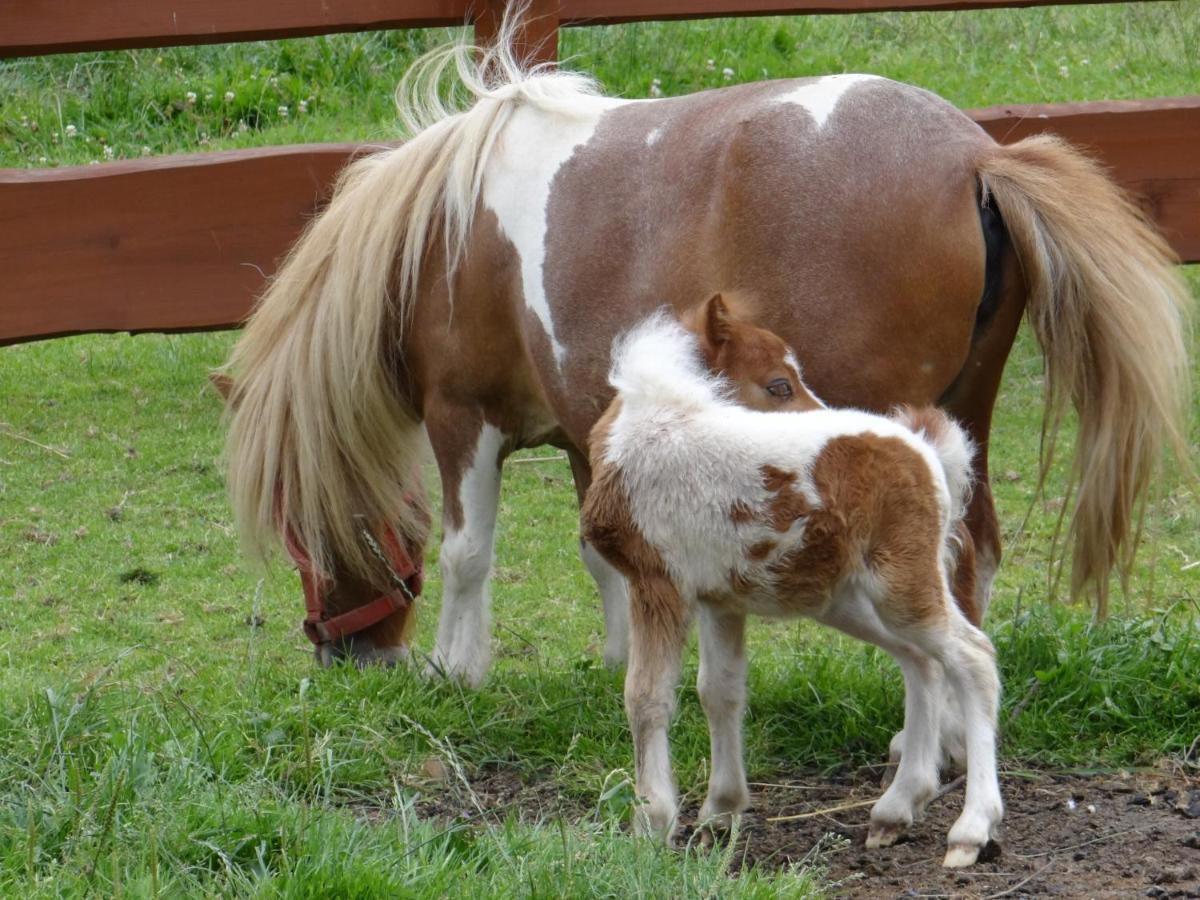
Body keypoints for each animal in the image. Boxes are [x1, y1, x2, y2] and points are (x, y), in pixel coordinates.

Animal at [223, 28, 1190, 686]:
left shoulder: (462, 416)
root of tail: (976, 157)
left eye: (294, 522)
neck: (440, 239)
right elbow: (602, 552)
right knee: (972, 553)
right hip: (966, 409)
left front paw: (459, 674)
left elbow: (468, 551)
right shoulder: (584, 430)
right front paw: (619, 665)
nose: (351, 656)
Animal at [580, 304, 1003, 873]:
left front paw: (652, 822)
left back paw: (972, 829)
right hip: (850, 600)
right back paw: (896, 809)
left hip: (902, 586)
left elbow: (646, 697)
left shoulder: (657, 582)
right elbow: (720, 691)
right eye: (778, 385)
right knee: (922, 663)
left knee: (972, 658)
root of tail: (924, 449)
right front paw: (720, 814)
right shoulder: (721, 599)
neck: (654, 429)